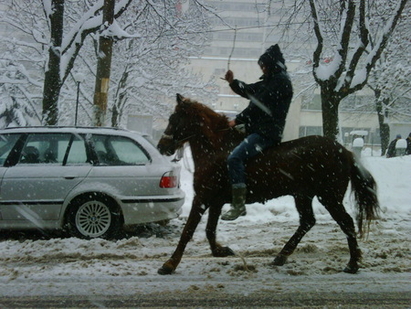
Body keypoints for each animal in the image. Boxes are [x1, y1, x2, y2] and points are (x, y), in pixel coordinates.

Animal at [157, 93, 380, 274]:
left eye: (174, 119)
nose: (161, 146)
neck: (217, 148)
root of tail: (345, 151)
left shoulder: (203, 198)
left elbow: (188, 231)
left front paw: (170, 264)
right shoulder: (216, 200)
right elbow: (210, 230)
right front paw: (220, 250)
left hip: (329, 197)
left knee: (346, 223)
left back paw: (352, 264)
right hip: (303, 195)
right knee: (307, 221)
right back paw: (281, 256)